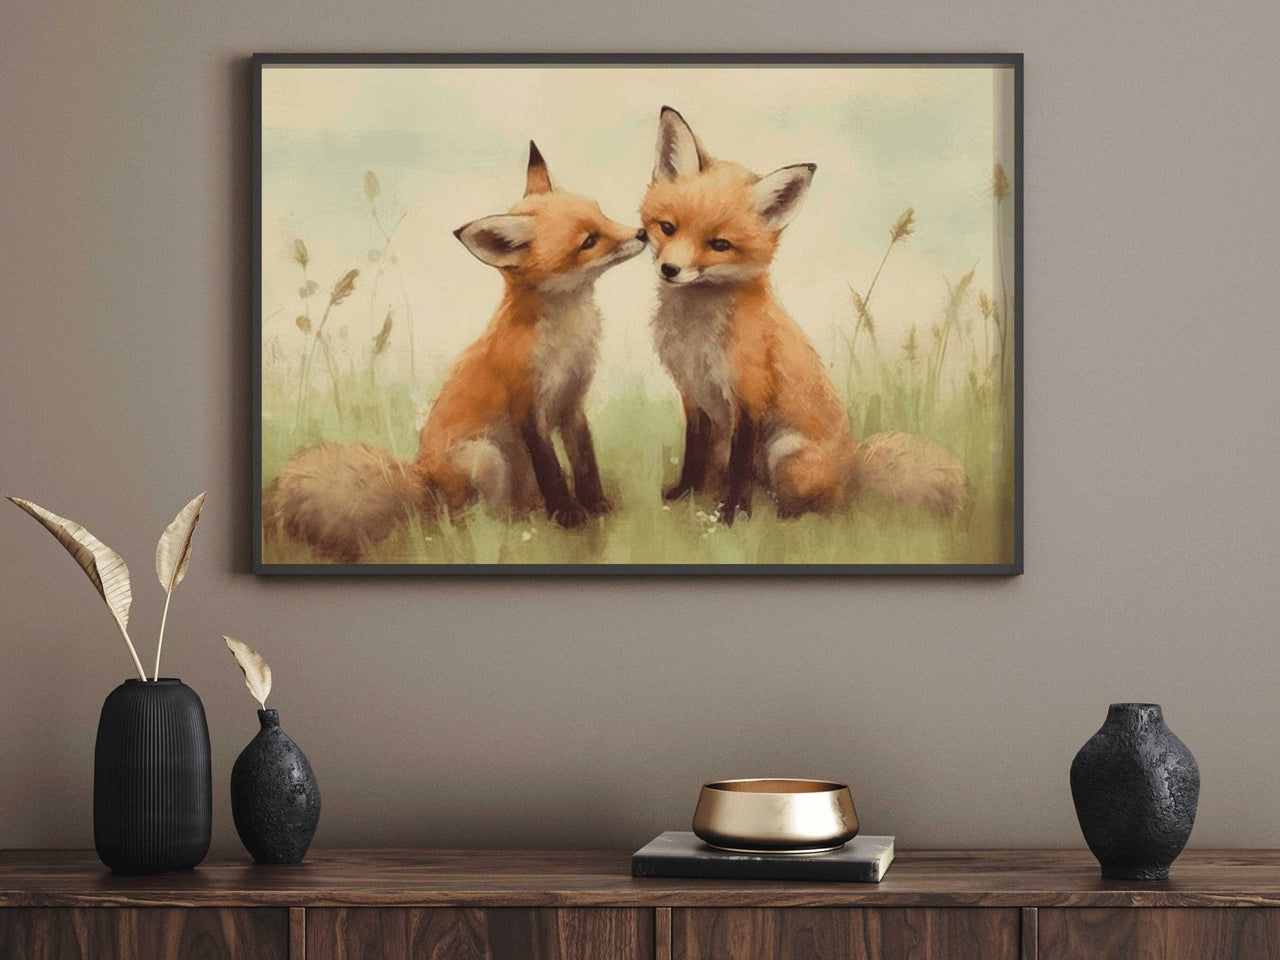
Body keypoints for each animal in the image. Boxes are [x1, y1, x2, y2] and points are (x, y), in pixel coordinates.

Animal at [265, 142, 648, 561]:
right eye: (589, 241)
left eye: (601, 212)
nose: (643, 233)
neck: (566, 340)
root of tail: (423, 485)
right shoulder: (529, 410)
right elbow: (551, 471)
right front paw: (570, 516)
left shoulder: (573, 402)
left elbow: (585, 462)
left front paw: (597, 506)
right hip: (485, 457)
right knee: (476, 523)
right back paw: (521, 525)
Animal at [640, 106, 970, 525]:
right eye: (667, 227)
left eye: (719, 245)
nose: (670, 269)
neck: (695, 337)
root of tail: (851, 474)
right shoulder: (693, 396)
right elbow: (693, 456)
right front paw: (684, 495)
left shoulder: (750, 396)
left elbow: (738, 468)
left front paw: (731, 517)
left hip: (785, 454)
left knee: (814, 510)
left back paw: (778, 515)